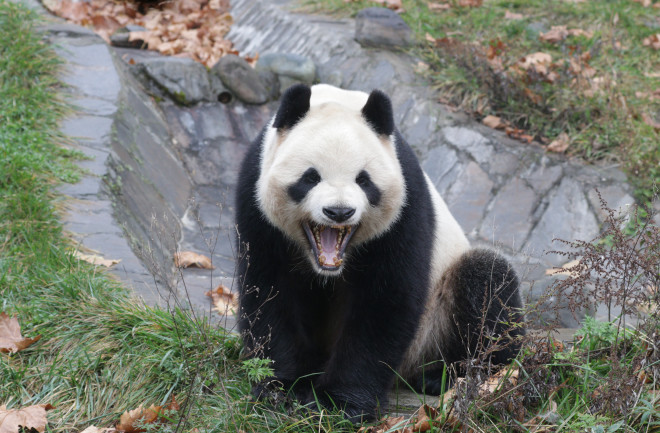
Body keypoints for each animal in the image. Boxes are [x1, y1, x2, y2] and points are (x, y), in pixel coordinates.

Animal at [235, 82, 524, 420]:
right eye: (310, 177)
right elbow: (270, 290)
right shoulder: (255, 196)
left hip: (434, 323)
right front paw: (283, 388)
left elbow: (386, 300)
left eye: (363, 180)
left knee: (488, 284)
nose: (339, 211)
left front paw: (340, 402)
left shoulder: (405, 203)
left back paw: (447, 375)